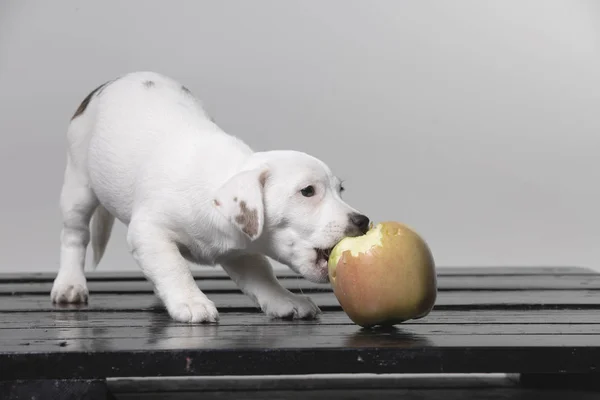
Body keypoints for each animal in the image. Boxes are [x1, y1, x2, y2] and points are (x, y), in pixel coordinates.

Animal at [51, 71, 370, 322]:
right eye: (307, 191)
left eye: (340, 190)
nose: (363, 220)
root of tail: (110, 82)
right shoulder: (148, 231)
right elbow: (174, 266)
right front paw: (191, 301)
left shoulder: (241, 250)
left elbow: (262, 276)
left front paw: (285, 300)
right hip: (78, 186)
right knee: (74, 236)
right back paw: (69, 284)